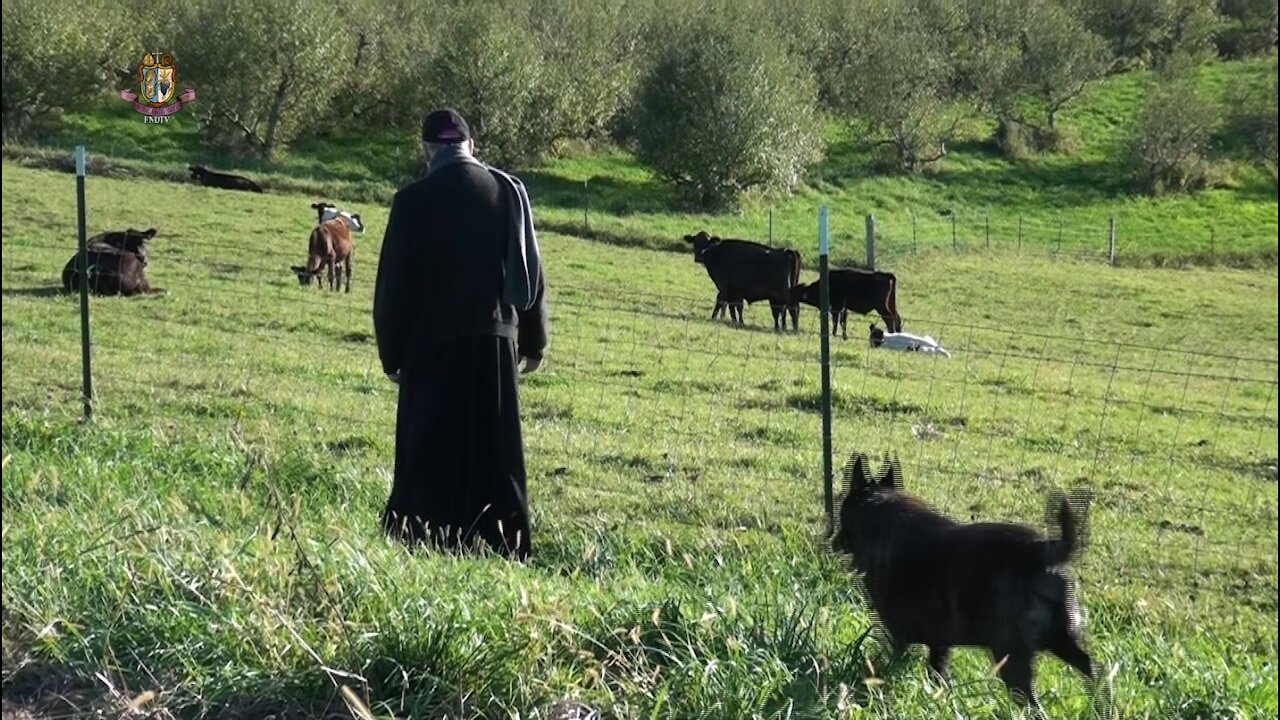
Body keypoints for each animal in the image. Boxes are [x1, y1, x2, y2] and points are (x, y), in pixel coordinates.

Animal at [834, 450, 1095, 712]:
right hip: (1063, 642)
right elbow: (937, 676)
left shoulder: (899, 638)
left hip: (1011, 656)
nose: (832, 541)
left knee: (1033, 705)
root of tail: (1043, 552)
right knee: (1094, 670)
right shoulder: (939, 644)